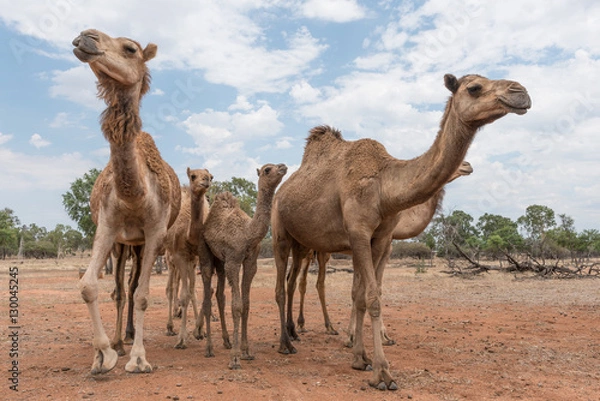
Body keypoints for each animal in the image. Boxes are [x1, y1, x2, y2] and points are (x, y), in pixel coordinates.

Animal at [73, 29, 180, 374]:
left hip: (141, 244)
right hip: (123, 245)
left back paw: (130, 339)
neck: (134, 194)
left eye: (130, 49)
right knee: (120, 288)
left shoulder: (155, 232)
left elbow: (144, 294)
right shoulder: (107, 226)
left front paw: (139, 358)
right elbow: (89, 285)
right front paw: (103, 354)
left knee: (132, 288)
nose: (85, 37)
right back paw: (120, 341)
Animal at [200, 162, 288, 368]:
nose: (283, 166)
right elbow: (237, 306)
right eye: (267, 169)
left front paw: (246, 351)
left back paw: (226, 341)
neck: (248, 234)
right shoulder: (233, 261)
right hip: (207, 255)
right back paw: (209, 349)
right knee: (207, 297)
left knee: (219, 295)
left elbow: (246, 304)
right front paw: (234, 358)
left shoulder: (250, 262)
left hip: (220, 262)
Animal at [290, 160, 474, 340]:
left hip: (316, 251)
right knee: (310, 282)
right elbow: (360, 289)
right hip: (313, 249)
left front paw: (378, 335)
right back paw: (311, 327)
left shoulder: (384, 248)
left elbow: (372, 287)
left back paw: (314, 326)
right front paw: (356, 334)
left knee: (306, 281)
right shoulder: (371, 247)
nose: (468, 165)